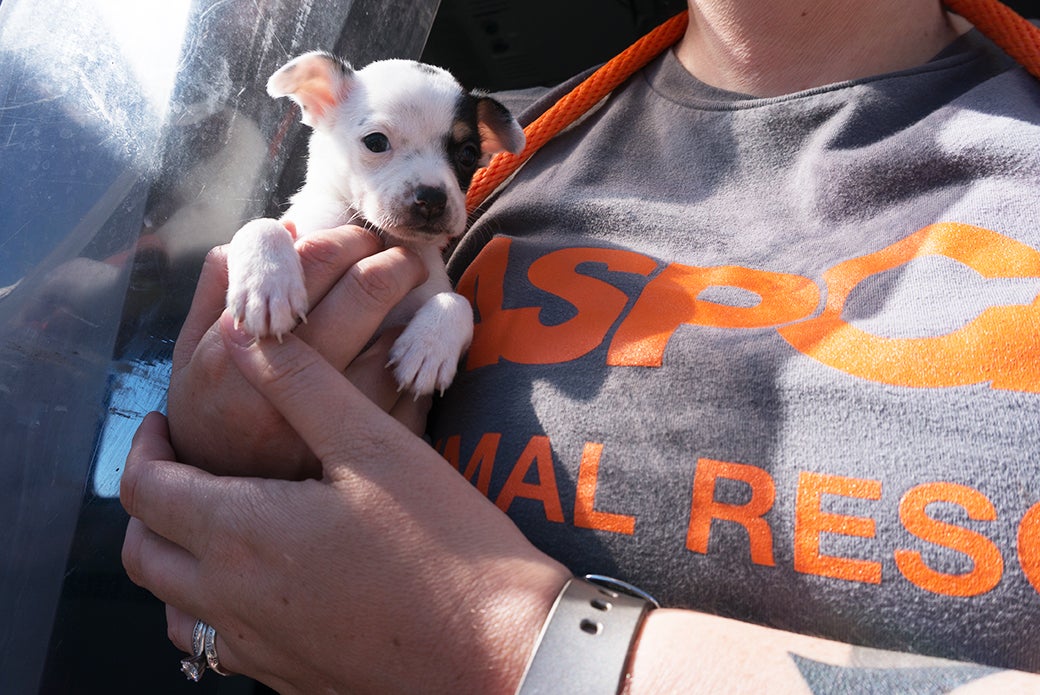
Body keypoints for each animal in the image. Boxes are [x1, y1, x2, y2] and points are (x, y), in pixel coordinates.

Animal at [225, 52, 524, 395]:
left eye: (468, 154)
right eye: (376, 142)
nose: (433, 198)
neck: (382, 235)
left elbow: (457, 300)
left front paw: (430, 346)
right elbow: (260, 226)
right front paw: (267, 284)